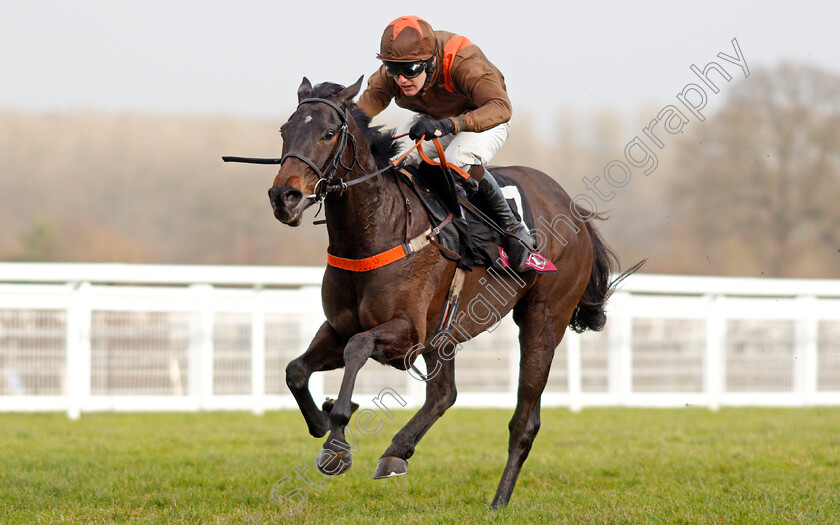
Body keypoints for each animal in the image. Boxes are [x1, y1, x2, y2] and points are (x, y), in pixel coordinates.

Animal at [268, 75, 632, 506]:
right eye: (285, 131)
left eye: (327, 133)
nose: (284, 197)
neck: (377, 228)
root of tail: (575, 212)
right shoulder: (341, 327)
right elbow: (296, 370)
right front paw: (324, 420)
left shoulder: (407, 330)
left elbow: (357, 348)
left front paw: (337, 441)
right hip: (445, 331)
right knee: (444, 393)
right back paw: (396, 453)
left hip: (543, 319)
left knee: (523, 422)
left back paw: (498, 501)